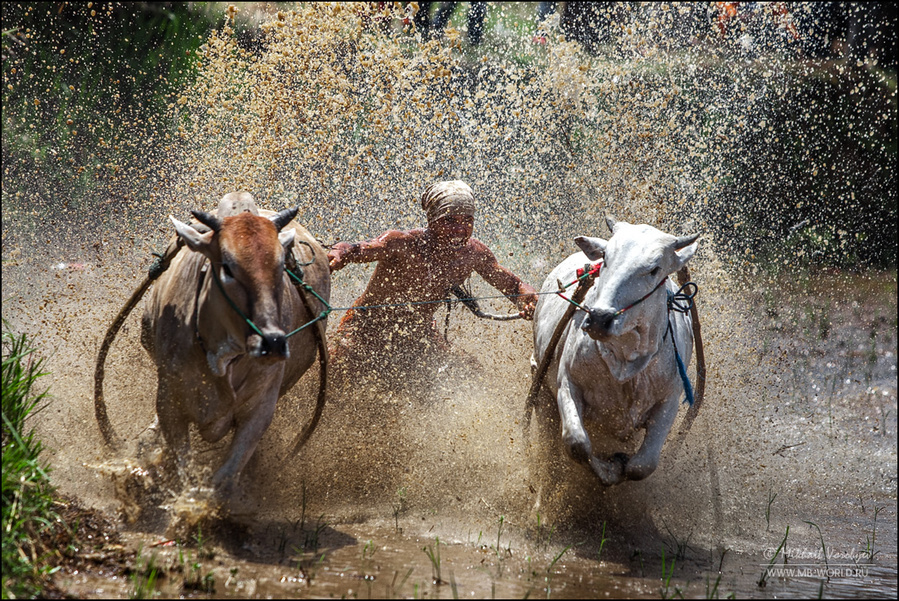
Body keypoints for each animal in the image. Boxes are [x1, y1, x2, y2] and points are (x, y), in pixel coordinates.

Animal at [137, 192, 326, 496]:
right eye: (227, 267)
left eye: (280, 266)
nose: (272, 343)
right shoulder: (169, 403)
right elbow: (183, 471)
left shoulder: (260, 409)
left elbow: (224, 479)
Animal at [532, 218, 700, 486]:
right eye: (606, 258)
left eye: (654, 269)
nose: (600, 319)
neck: (624, 358)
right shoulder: (567, 383)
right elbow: (577, 443)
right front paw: (609, 470)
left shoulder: (669, 400)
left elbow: (642, 465)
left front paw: (620, 465)